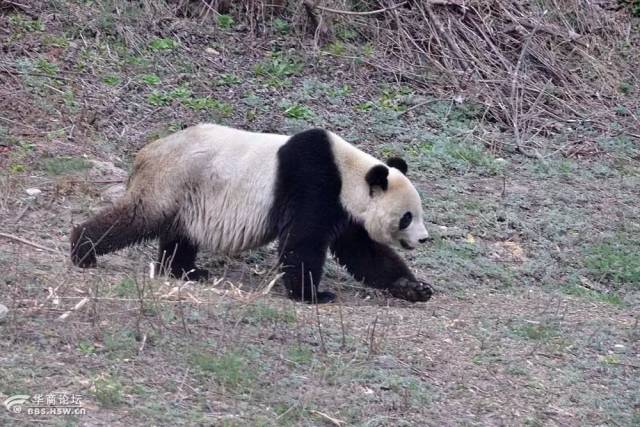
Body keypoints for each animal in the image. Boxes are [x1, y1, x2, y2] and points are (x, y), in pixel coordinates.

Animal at [71, 123, 436, 304]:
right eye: (407, 216)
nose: (424, 239)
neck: (350, 173)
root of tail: (146, 153)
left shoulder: (345, 210)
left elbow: (364, 253)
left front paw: (414, 288)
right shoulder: (314, 184)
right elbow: (303, 243)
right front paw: (313, 295)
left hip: (191, 195)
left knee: (180, 233)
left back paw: (185, 271)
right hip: (172, 180)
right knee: (139, 216)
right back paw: (82, 249)